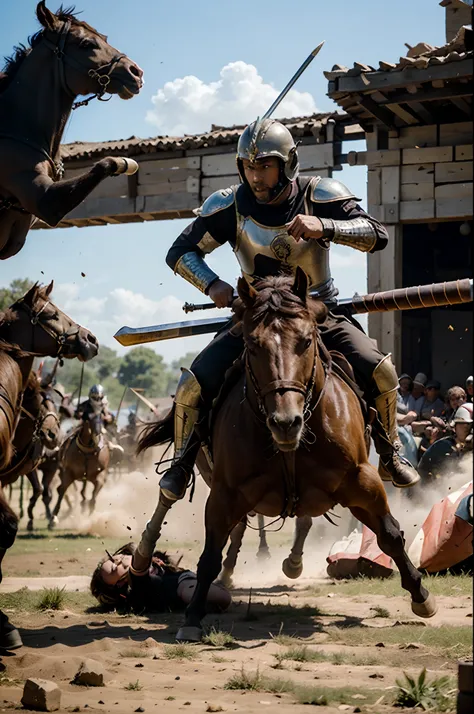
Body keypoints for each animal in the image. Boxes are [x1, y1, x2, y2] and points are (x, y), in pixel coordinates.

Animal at [0, 2, 144, 258]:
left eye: (104, 38)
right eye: (86, 44)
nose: (136, 73)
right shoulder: (46, 200)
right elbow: (106, 163)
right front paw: (126, 162)